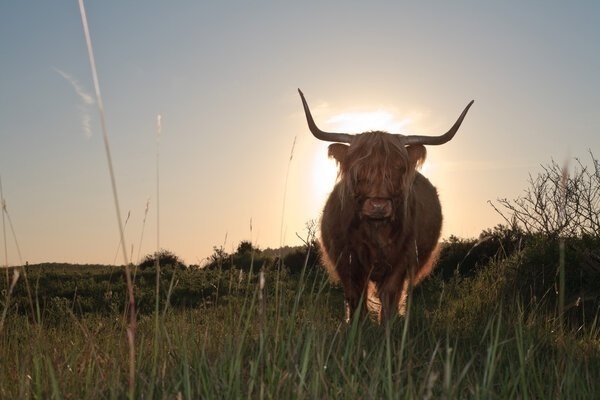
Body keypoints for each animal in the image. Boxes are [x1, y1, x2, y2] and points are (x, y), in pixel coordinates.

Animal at [300, 89, 474, 324]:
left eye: (399, 168)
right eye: (359, 170)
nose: (378, 205)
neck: (375, 231)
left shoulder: (402, 259)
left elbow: (390, 296)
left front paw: (387, 327)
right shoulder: (347, 261)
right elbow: (356, 298)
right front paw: (356, 326)